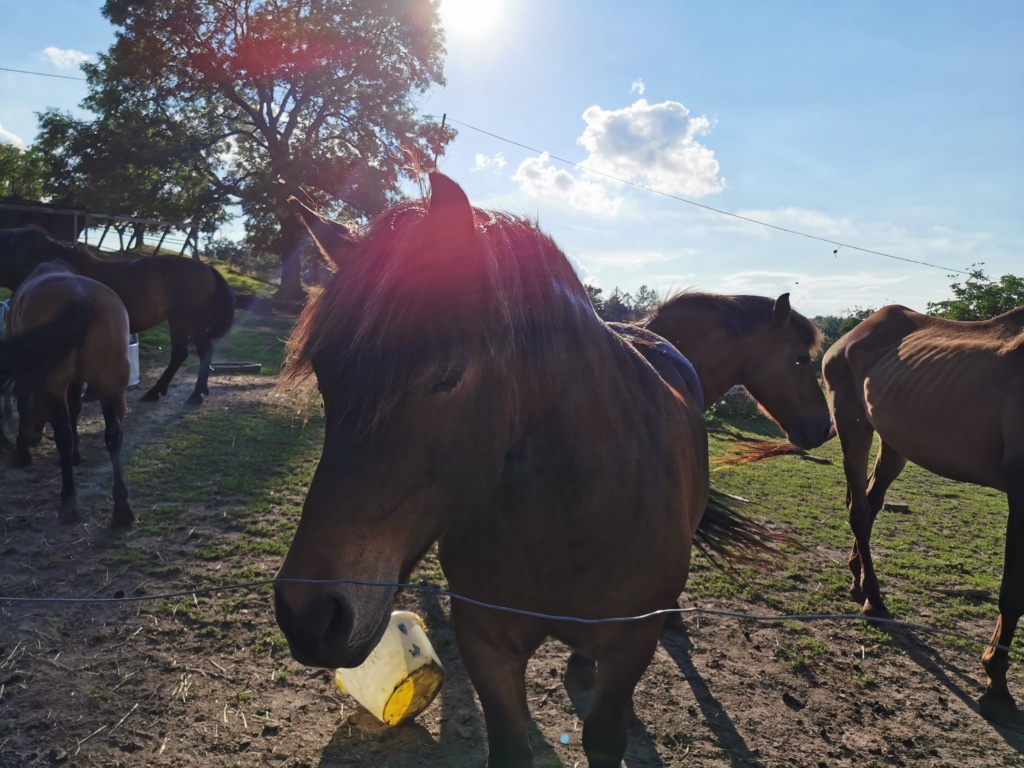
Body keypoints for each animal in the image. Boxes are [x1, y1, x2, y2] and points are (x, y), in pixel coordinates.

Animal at [0, 227, 234, 405]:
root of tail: (208, 269)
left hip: (191, 323)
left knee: (204, 351)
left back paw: (195, 394)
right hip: (177, 322)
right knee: (180, 354)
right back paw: (157, 391)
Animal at [0, 262, 134, 528]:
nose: (34, 435)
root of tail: (80, 299)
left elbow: (23, 402)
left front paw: (22, 452)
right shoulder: (77, 380)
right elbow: (75, 409)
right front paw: (76, 456)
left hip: (55, 385)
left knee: (63, 435)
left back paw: (69, 504)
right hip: (111, 388)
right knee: (114, 436)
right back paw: (122, 508)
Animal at [272, 174, 770, 768]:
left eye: (449, 374)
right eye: (326, 372)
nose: (307, 614)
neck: (564, 524)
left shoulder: (630, 646)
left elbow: (605, 736)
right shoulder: (486, 643)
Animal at [819, 303, 1024, 724]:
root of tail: (847, 338)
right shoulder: (1021, 491)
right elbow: (1013, 592)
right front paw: (996, 683)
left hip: (895, 441)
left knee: (869, 503)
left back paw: (858, 581)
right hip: (854, 426)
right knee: (859, 510)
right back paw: (874, 600)